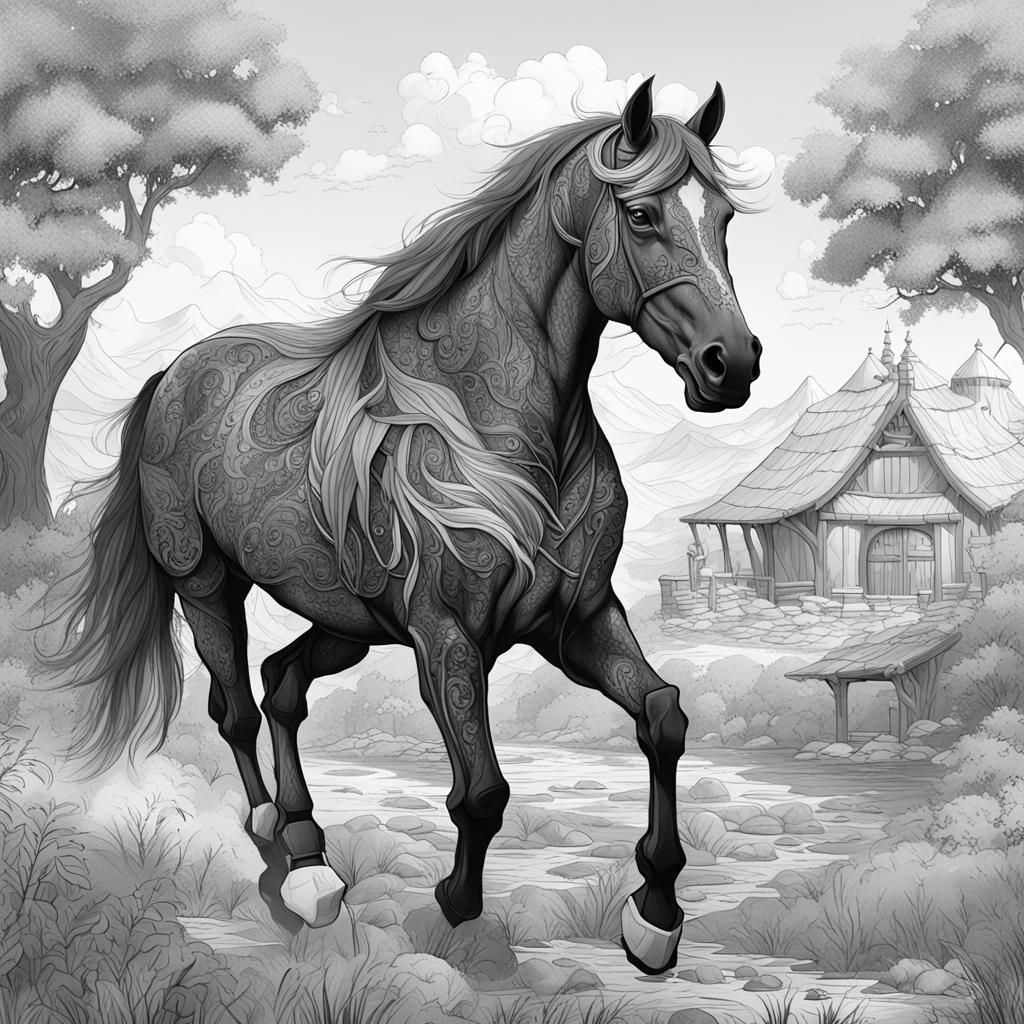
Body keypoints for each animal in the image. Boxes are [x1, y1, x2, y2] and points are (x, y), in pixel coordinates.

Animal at [46, 77, 762, 975]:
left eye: (724, 217)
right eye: (641, 215)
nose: (732, 364)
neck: (495, 423)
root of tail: (175, 372)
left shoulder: (577, 621)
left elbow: (663, 716)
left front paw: (655, 917)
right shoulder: (446, 636)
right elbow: (483, 790)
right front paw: (456, 905)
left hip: (347, 621)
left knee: (282, 685)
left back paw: (310, 850)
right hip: (206, 585)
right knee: (236, 710)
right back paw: (286, 864)